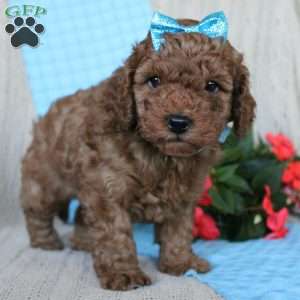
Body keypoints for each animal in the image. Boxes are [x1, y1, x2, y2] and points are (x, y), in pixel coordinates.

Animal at [21, 19, 255, 290]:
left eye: (212, 86)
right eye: (154, 80)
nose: (178, 122)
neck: (162, 155)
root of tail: (47, 115)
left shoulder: (184, 197)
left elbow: (178, 231)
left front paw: (180, 262)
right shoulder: (107, 189)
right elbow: (115, 235)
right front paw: (123, 273)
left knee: (81, 213)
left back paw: (85, 243)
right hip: (47, 177)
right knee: (37, 209)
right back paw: (46, 243)